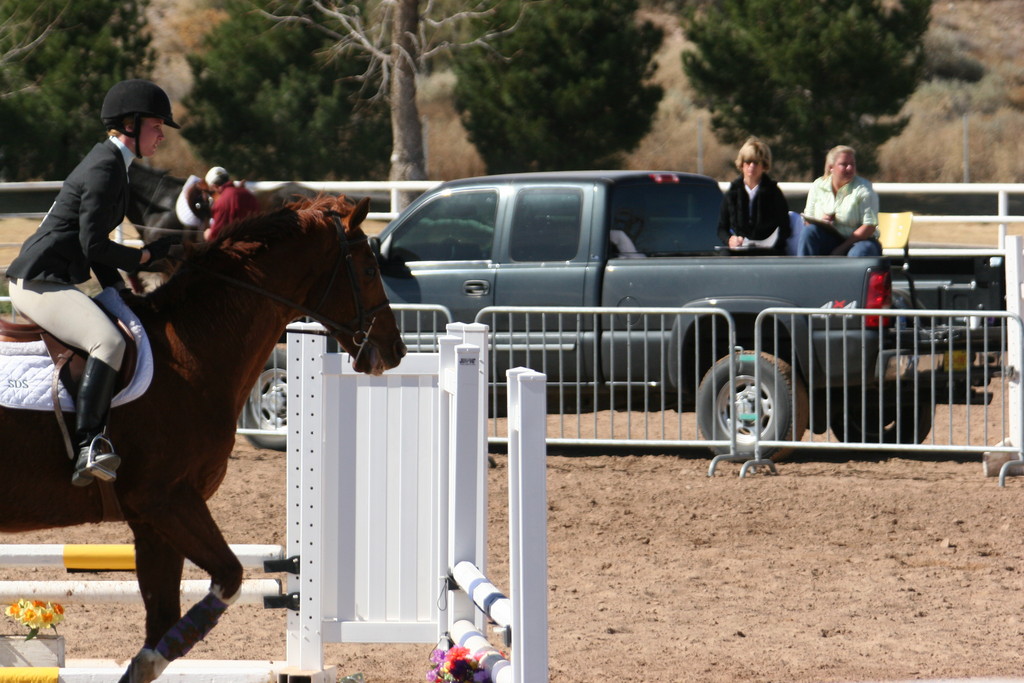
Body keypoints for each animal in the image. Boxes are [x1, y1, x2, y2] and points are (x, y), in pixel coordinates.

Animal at [0, 194, 405, 679]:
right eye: (368, 270)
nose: (396, 349)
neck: (191, 350)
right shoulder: (167, 499)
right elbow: (228, 578)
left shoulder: (151, 520)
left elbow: (161, 619)